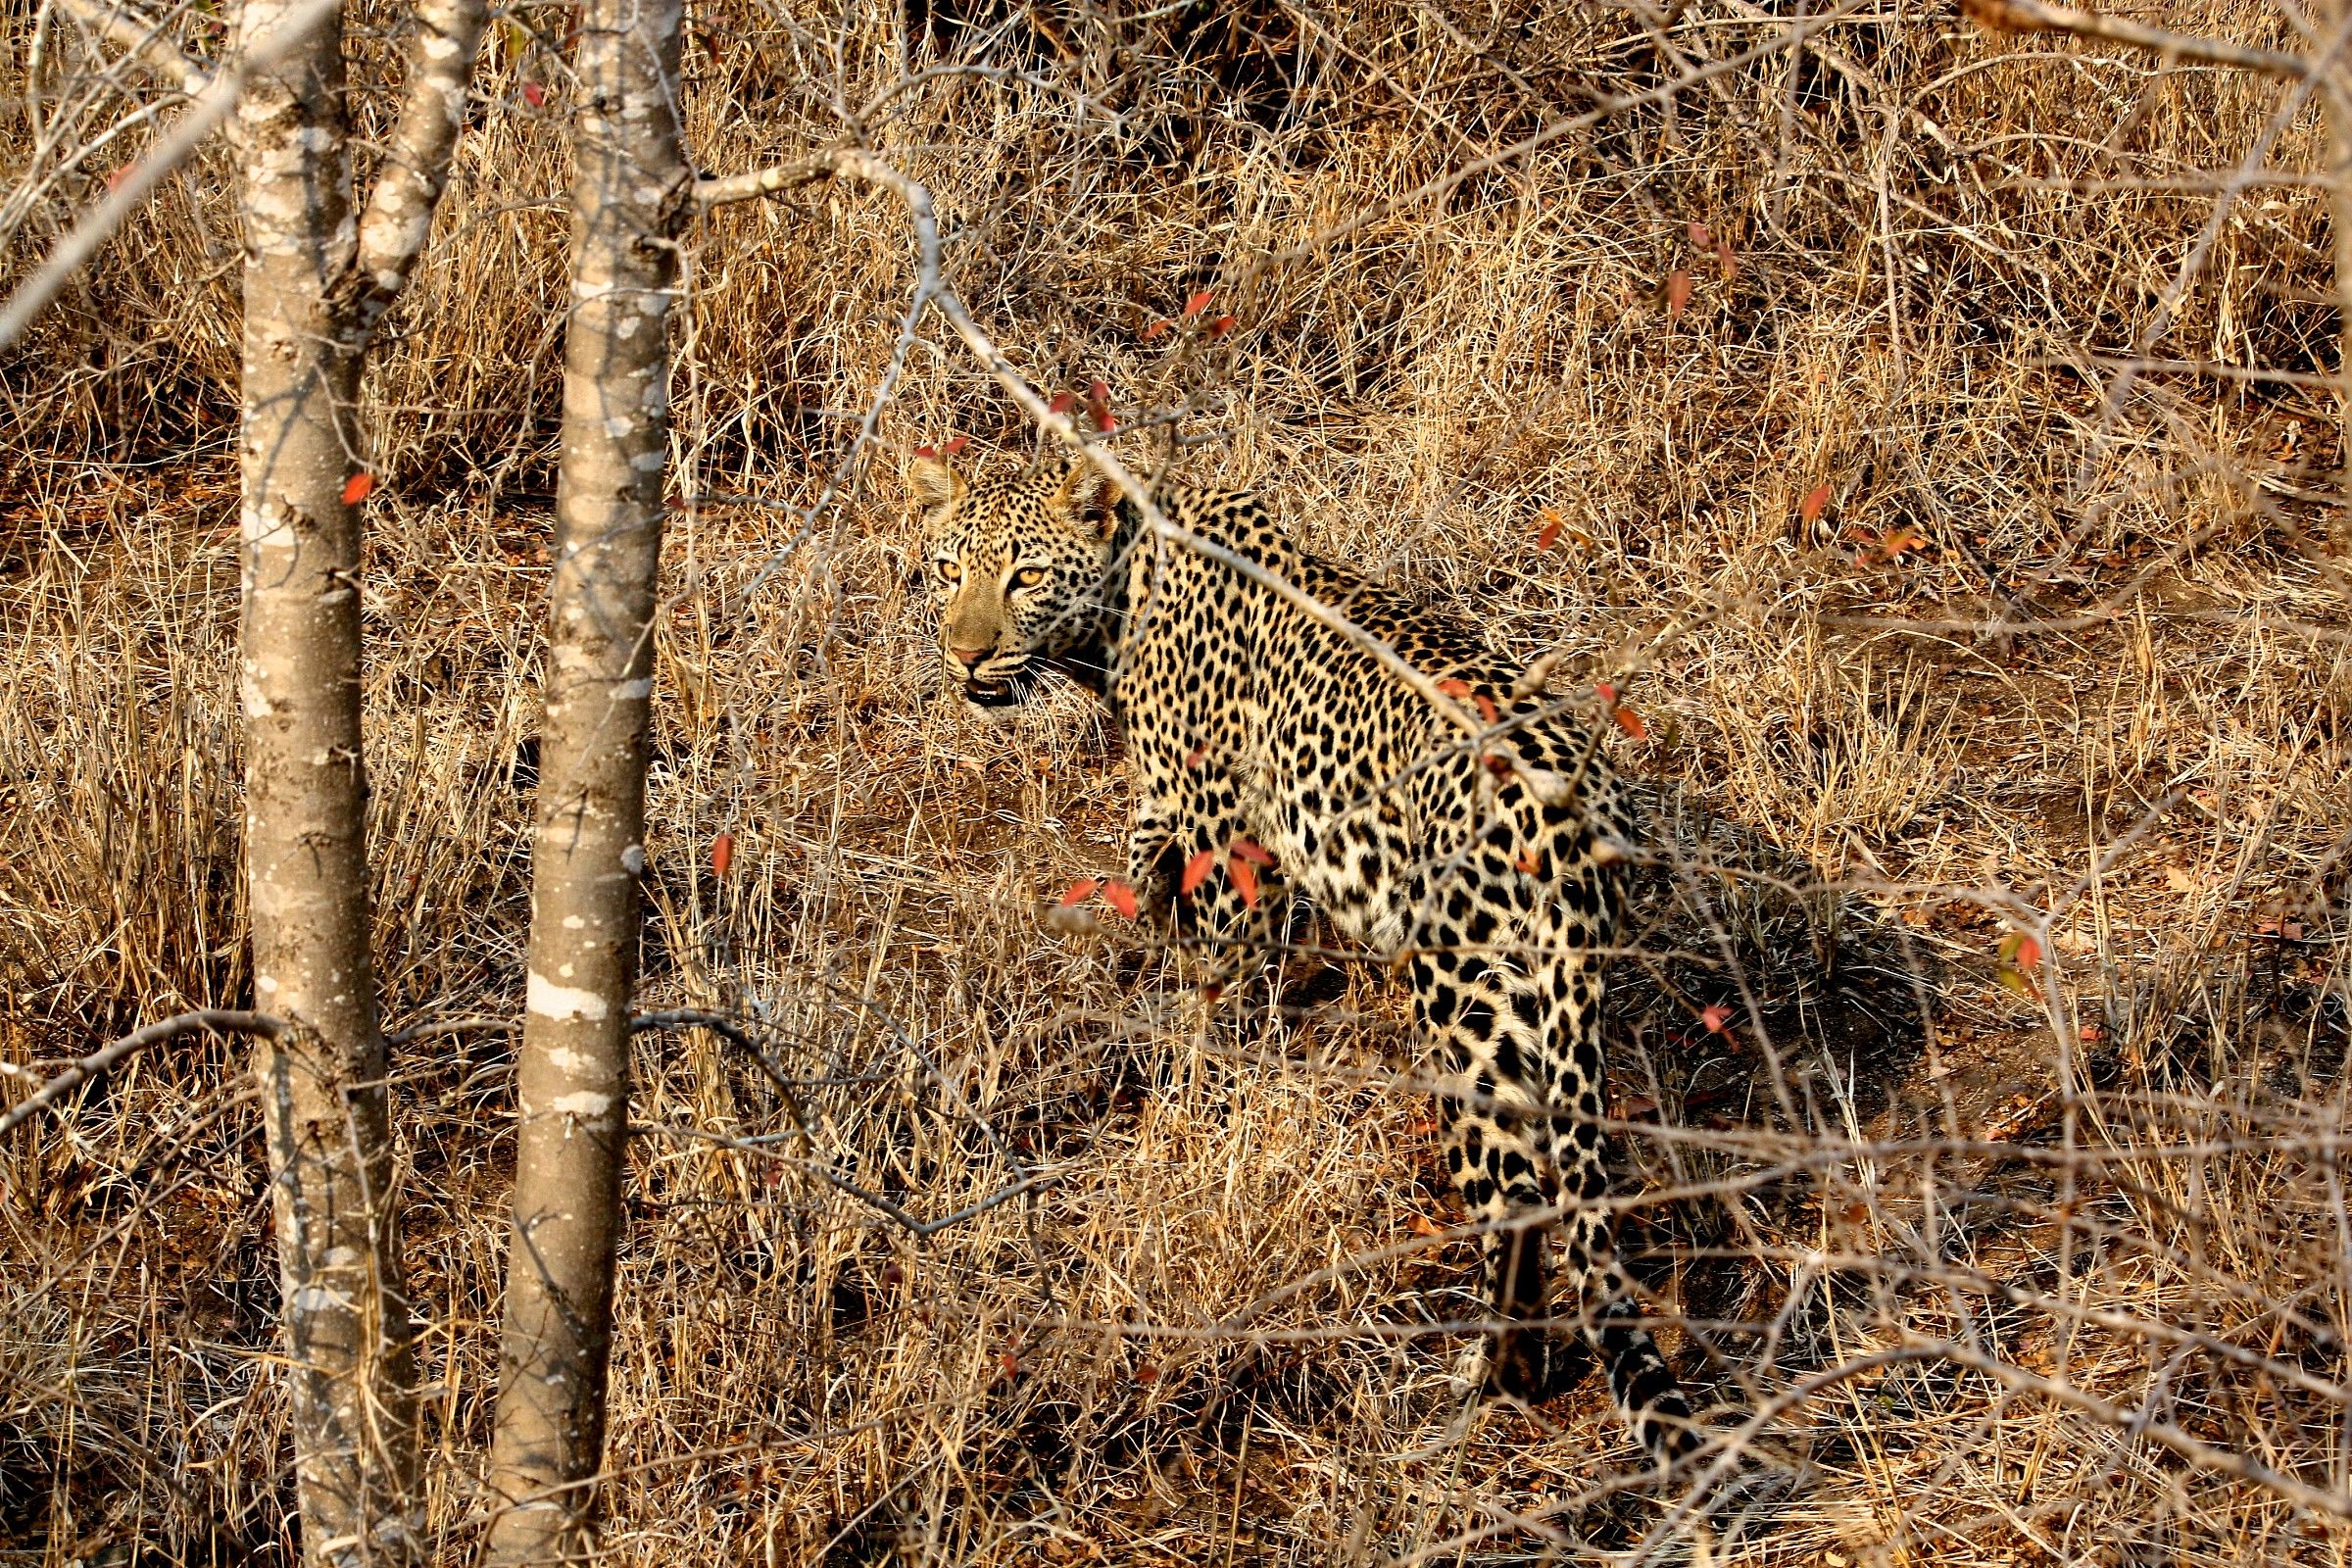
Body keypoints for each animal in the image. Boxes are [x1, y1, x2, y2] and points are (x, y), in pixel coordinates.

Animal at [911, 454, 1704, 1471]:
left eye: (1025, 576)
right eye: (948, 569)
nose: (965, 656)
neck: (1124, 603)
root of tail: (1571, 823)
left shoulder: (1227, 837)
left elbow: (1215, 978)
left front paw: (1187, 1100)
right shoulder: (1177, 807)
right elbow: (1146, 862)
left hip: (1469, 1004)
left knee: (1515, 1195)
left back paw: (1485, 1380)